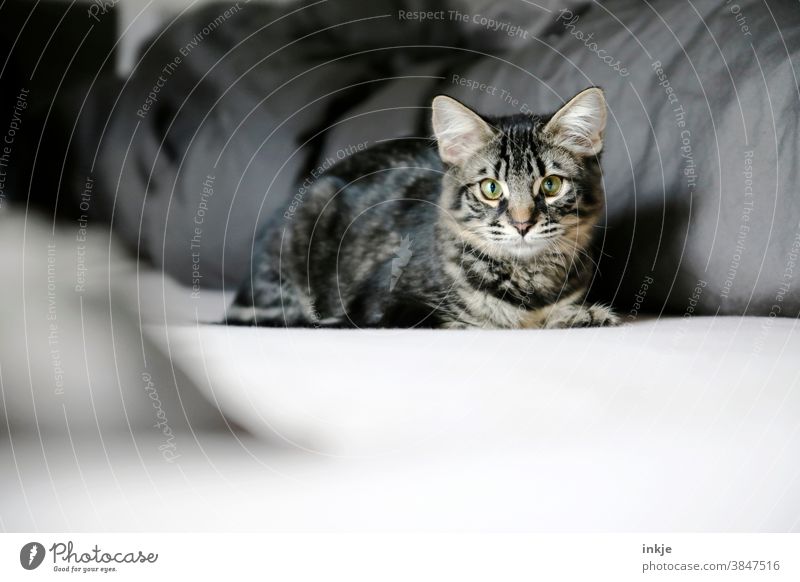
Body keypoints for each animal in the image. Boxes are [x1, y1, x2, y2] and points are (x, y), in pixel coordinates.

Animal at [225, 88, 620, 330]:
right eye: (491, 189)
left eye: (551, 185)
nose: (522, 224)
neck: (528, 278)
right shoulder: (385, 305)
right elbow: (468, 322)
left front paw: (581, 316)